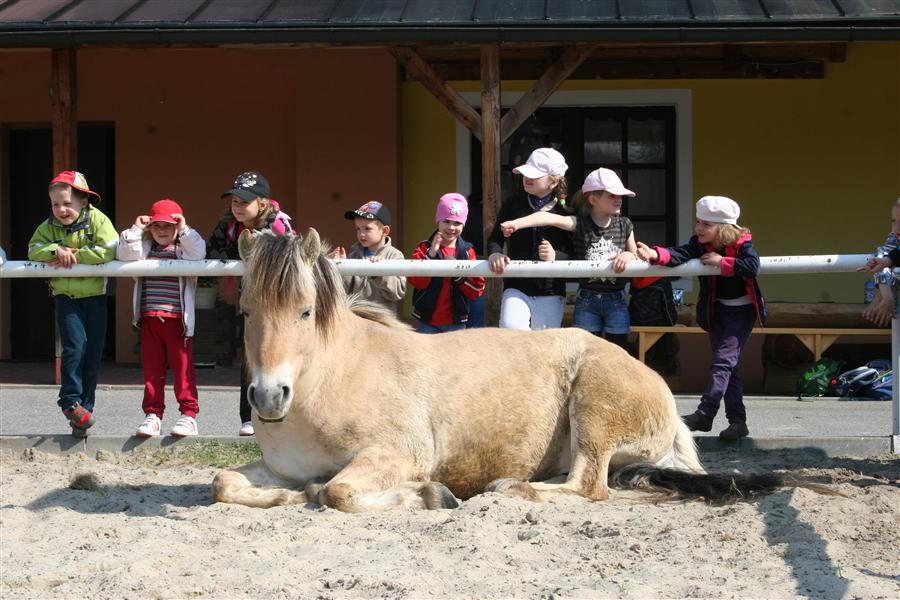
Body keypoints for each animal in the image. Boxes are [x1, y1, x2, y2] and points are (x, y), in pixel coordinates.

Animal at [213, 229, 788, 510]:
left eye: (306, 311)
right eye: (246, 312)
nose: (268, 397)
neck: (332, 379)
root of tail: (660, 392)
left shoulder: (397, 455)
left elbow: (338, 492)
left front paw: (431, 495)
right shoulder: (282, 466)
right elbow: (224, 482)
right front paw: (290, 495)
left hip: (594, 410)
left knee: (588, 486)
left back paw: (507, 488)